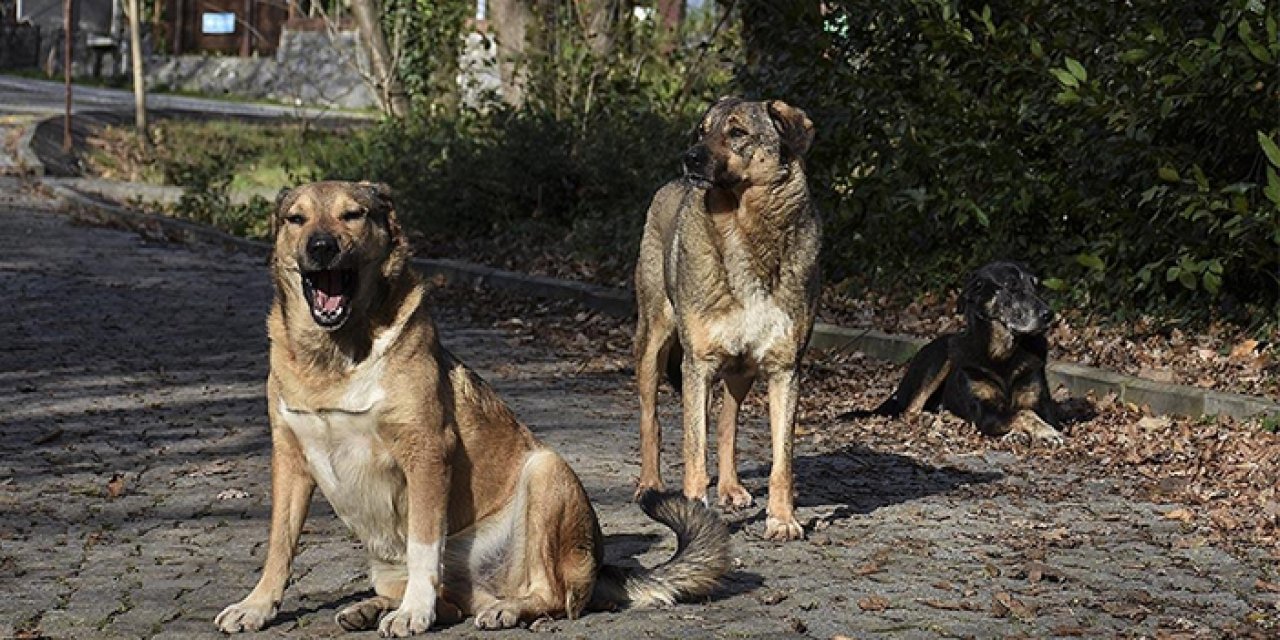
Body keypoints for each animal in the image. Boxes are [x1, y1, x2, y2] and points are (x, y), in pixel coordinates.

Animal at [215, 179, 727, 634]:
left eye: (352, 214)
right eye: (296, 219)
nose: (320, 246)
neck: (335, 357)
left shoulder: (426, 451)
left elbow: (424, 545)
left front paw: (412, 614)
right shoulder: (290, 457)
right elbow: (279, 545)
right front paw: (257, 606)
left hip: (546, 472)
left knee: (552, 596)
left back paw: (501, 610)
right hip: (386, 561)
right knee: (450, 603)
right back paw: (371, 608)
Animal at [844, 259, 1064, 445]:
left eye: (1036, 286)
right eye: (1011, 286)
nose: (1049, 315)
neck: (1002, 353)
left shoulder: (1042, 406)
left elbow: (1028, 413)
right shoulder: (985, 412)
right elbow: (1024, 414)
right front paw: (1044, 432)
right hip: (942, 358)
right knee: (910, 411)